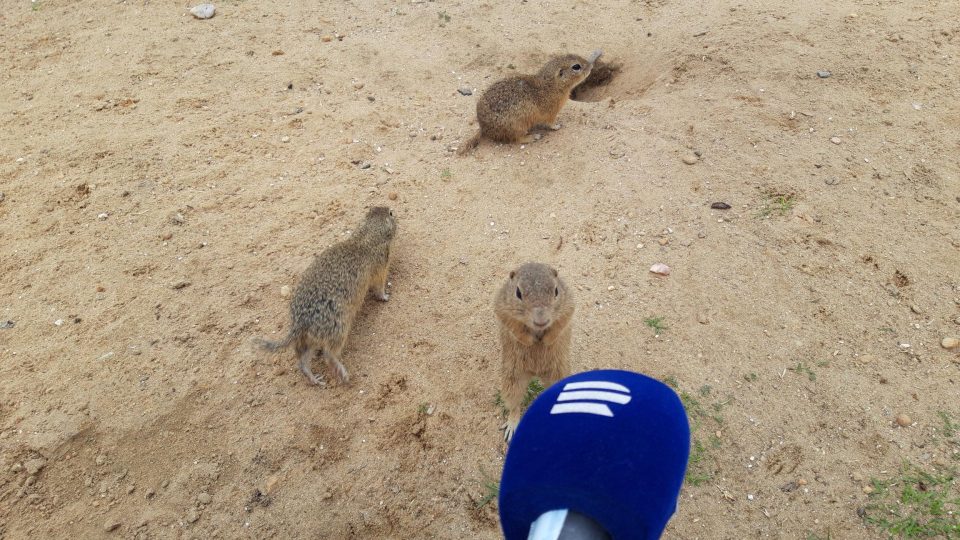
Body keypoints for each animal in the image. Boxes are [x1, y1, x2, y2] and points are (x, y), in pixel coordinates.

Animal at [255, 205, 398, 386]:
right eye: (390, 213)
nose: (391, 209)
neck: (365, 236)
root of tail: (298, 322)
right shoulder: (381, 269)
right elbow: (379, 288)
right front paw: (385, 297)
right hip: (338, 328)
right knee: (328, 355)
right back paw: (343, 373)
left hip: (310, 339)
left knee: (302, 361)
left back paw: (314, 379)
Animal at [458, 49, 600, 155]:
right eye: (576, 67)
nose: (591, 66)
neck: (551, 85)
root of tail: (484, 128)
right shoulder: (551, 113)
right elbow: (551, 123)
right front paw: (557, 126)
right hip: (519, 126)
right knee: (517, 139)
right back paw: (533, 137)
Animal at [496, 262, 568, 442]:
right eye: (518, 293)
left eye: (556, 291)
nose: (541, 320)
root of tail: (535, 373)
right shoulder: (502, 309)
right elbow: (515, 327)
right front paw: (530, 342)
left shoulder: (568, 306)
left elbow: (559, 325)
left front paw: (546, 341)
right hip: (512, 380)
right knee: (514, 405)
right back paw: (512, 426)